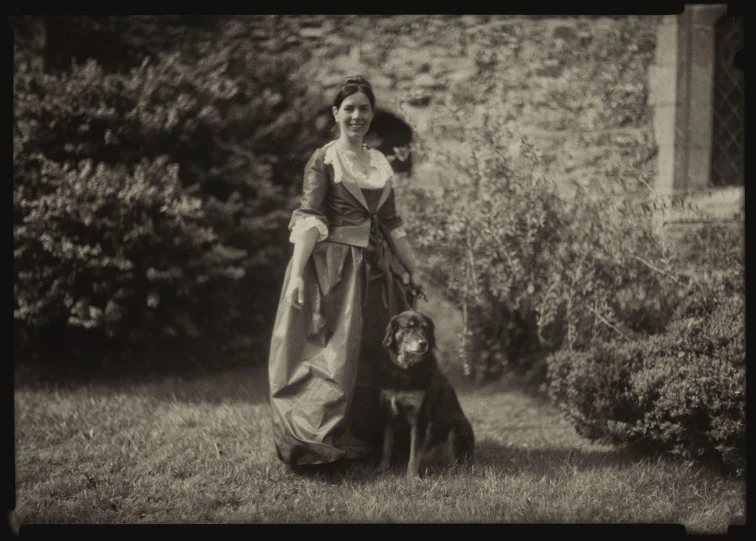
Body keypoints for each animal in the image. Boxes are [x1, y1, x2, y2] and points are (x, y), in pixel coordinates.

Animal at [380, 308, 476, 476]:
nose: (423, 343)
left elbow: (414, 453)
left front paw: (411, 477)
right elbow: (386, 446)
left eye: (426, 329)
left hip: (459, 427)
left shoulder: (419, 417)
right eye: (408, 327)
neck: (405, 369)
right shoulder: (389, 414)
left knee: (459, 462)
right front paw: (382, 470)